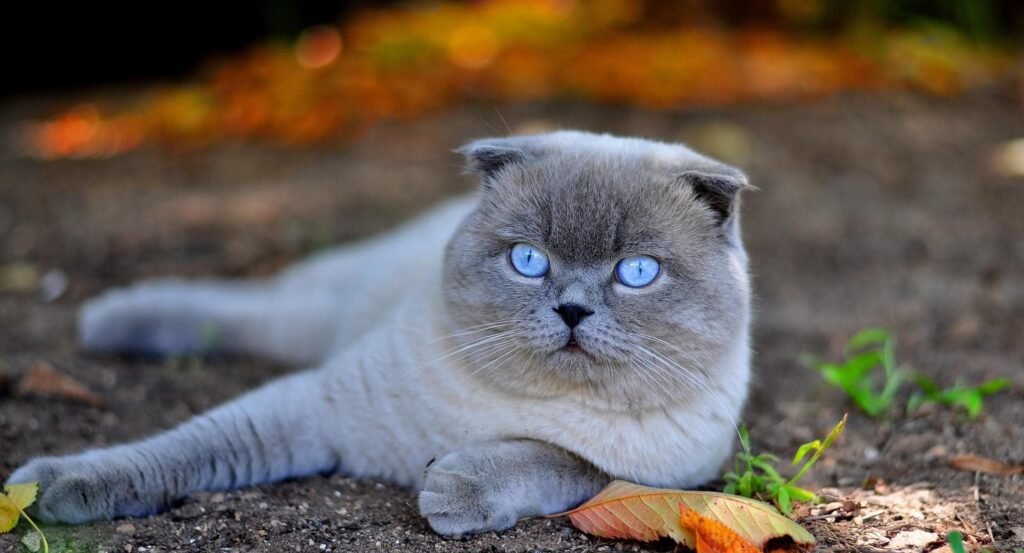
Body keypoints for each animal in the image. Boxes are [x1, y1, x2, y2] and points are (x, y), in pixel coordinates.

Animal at [6, 130, 753, 536]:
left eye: (637, 272)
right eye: (529, 260)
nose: (572, 311)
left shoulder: (651, 472)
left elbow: (551, 457)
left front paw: (452, 487)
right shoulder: (315, 405)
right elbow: (178, 450)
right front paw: (47, 491)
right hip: (310, 319)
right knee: (241, 309)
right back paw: (108, 319)